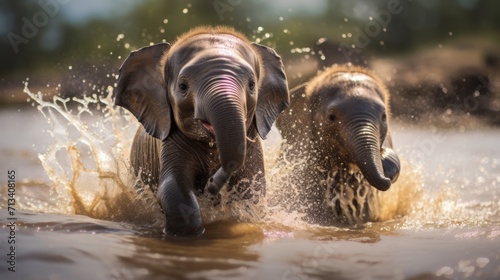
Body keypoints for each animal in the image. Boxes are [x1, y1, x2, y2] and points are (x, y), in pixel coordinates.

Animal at [115, 26, 290, 236]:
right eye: (183, 86)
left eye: (251, 85)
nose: (211, 184)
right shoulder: (170, 140)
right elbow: (174, 188)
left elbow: (251, 190)